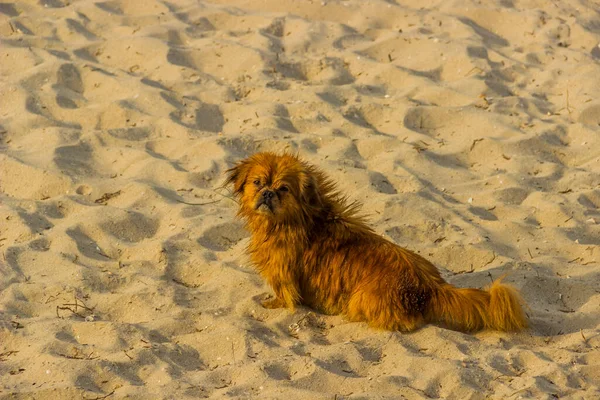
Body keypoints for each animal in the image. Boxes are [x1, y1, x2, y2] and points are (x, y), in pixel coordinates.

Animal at [226, 152, 528, 332]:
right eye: (257, 182)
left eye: (283, 189)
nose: (267, 193)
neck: (302, 219)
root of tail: (430, 287)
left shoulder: (283, 275)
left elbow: (284, 296)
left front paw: (270, 305)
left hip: (361, 299)